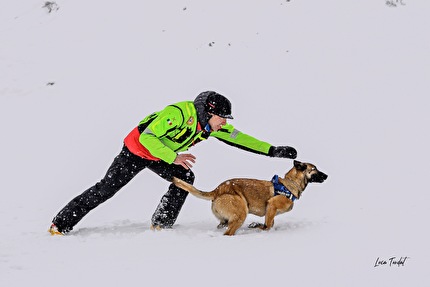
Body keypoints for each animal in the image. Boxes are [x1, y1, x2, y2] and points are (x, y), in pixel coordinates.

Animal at [173, 160, 328, 236]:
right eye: (314, 169)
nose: (326, 175)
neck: (290, 184)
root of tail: (217, 190)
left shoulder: (271, 211)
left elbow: (270, 224)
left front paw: (256, 225)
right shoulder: (271, 205)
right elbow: (267, 226)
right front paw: (256, 226)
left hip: (228, 218)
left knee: (222, 225)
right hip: (242, 211)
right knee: (228, 233)